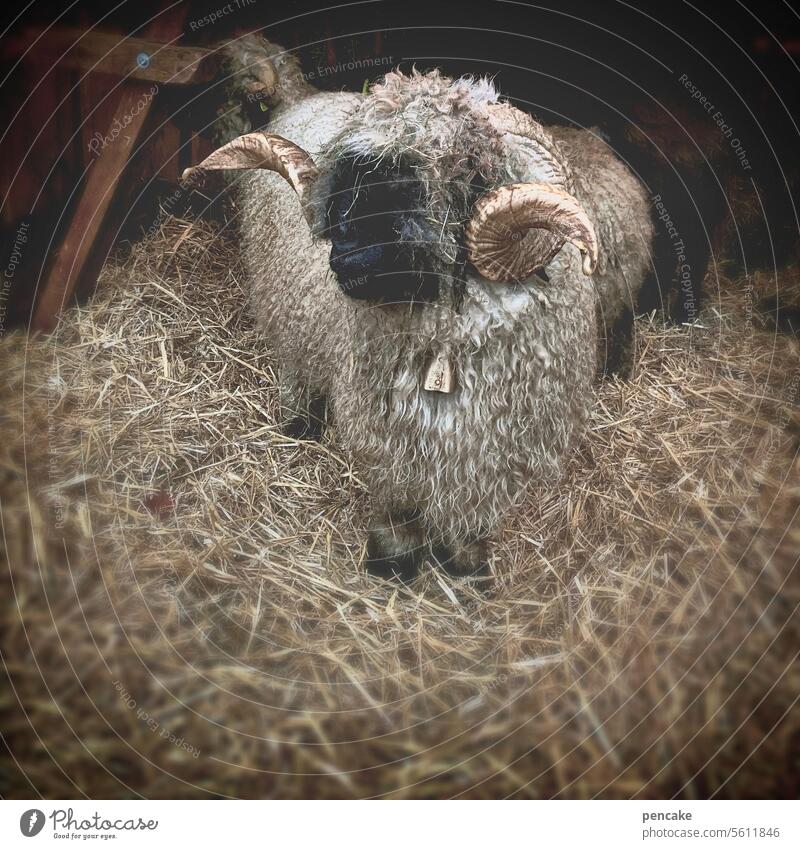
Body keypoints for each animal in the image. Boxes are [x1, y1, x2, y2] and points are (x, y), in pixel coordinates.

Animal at [184, 41, 652, 584]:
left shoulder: (497, 445)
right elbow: (399, 506)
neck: (446, 343)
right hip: (286, 310)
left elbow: (473, 518)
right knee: (295, 366)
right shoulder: (388, 435)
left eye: (466, 171)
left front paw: (466, 568)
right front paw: (392, 564)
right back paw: (298, 424)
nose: (348, 257)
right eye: (346, 175)